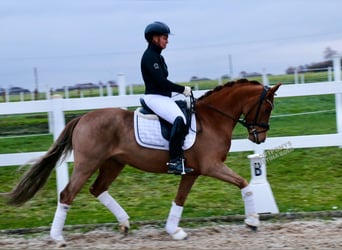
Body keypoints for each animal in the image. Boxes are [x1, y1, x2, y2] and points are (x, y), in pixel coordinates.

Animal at [3, 79, 280, 246]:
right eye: (267, 108)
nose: (259, 137)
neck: (212, 119)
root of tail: (82, 117)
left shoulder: (191, 172)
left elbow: (180, 200)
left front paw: (174, 230)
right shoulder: (211, 166)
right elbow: (244, 183)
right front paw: (253, 221)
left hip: (113, 163)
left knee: (97, 189)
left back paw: (125, 224)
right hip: (87, 163)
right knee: (67, 194)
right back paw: (58, 238)